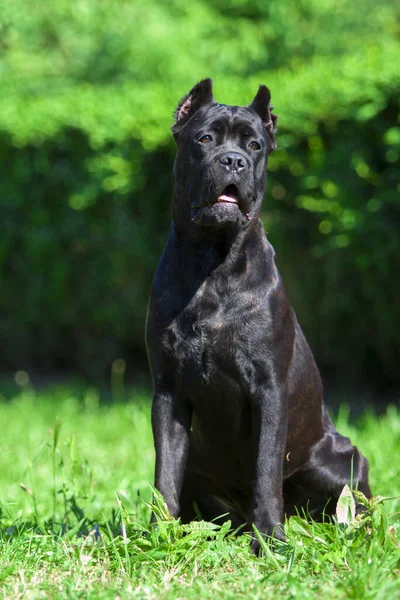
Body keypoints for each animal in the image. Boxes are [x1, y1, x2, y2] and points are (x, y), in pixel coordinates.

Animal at [145, 79, 372, 552]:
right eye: (205, 139)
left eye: (254, 145)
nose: (234, 160)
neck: (212, 262)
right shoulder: (169, 391)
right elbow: (165, 473)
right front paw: (159, 534)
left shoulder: (268, 390)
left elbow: (266, 470)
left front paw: (270, 540)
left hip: (344, 459)